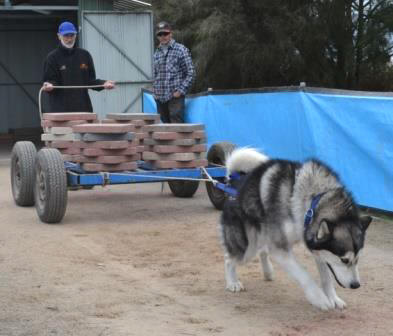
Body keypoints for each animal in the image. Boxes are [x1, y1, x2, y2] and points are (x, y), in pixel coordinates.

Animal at [220, 148, 370, 312]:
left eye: (358, 259)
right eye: (344, 260)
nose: (356, 285)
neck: (313, 201)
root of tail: (233, 182)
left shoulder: (315, 246)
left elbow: (326, 278)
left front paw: (333, 298)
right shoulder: (281, 249)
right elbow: (304, 275)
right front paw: (319, 299)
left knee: (263, 250)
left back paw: (268, 272)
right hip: (248, 247)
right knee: (229, 259)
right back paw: (232, 282)